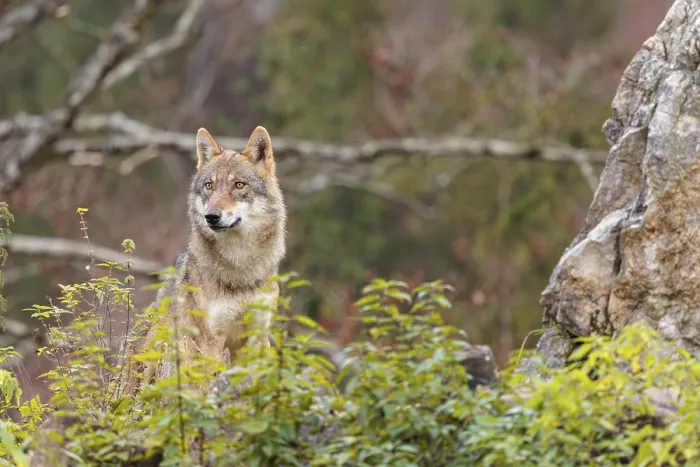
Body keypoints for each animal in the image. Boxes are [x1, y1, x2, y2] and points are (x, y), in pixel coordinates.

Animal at [119, 126, 286, 394]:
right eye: (209, 186)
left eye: (239, 185)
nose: (212, 216)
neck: (240, 268)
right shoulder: (211, 340)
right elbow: (209, 383)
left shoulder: (257, 335)